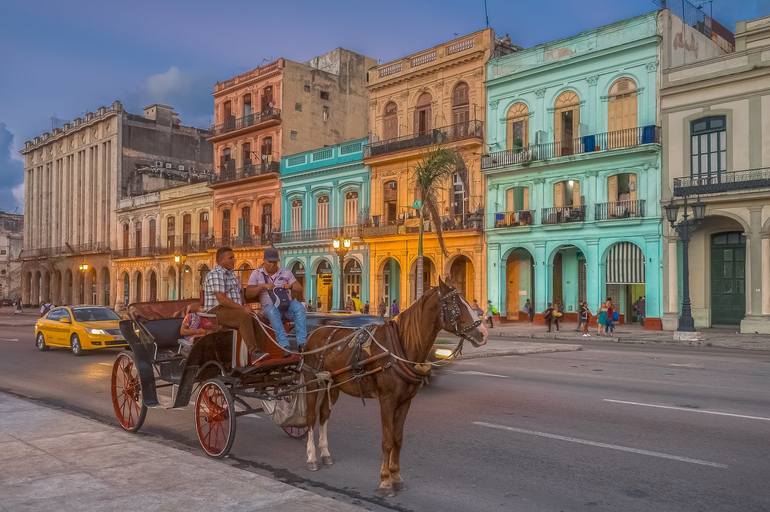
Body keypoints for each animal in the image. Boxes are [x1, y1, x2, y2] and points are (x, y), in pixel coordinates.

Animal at [300, 278, 486, 498]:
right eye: (455, 305)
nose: (483, 333)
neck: (402, 345)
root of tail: (314, 332)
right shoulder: (387, 400)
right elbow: (387, 440)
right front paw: (385, 482)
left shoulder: (406, 400)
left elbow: (398, 438)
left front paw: (397, 477)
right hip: (311, 381)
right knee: (311, 417)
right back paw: (311, 458)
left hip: (334, 384)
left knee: (324, 415)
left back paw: (326, 454)